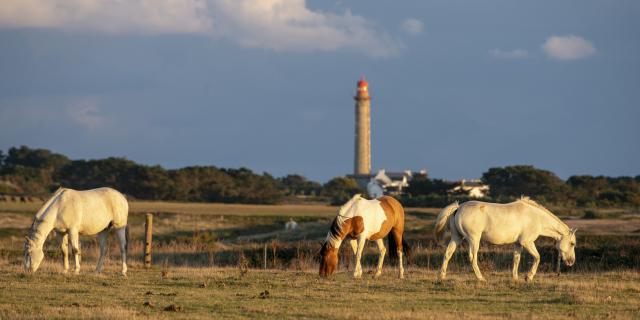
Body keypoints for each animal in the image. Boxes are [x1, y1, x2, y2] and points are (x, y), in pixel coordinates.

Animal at [436, 196, 576, 282]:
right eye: (572, 243)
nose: (571, 262)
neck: (536, 218)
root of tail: (458, 208)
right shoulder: (527, 242)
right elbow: (537, 257)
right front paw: (528, 277)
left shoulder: (518, 243)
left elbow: (516, 259)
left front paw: (515, 278)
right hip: (473, 239)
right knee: (472, 257)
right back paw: (481, 278)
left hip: (457, 237)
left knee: (448, 254)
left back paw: (442, 277)